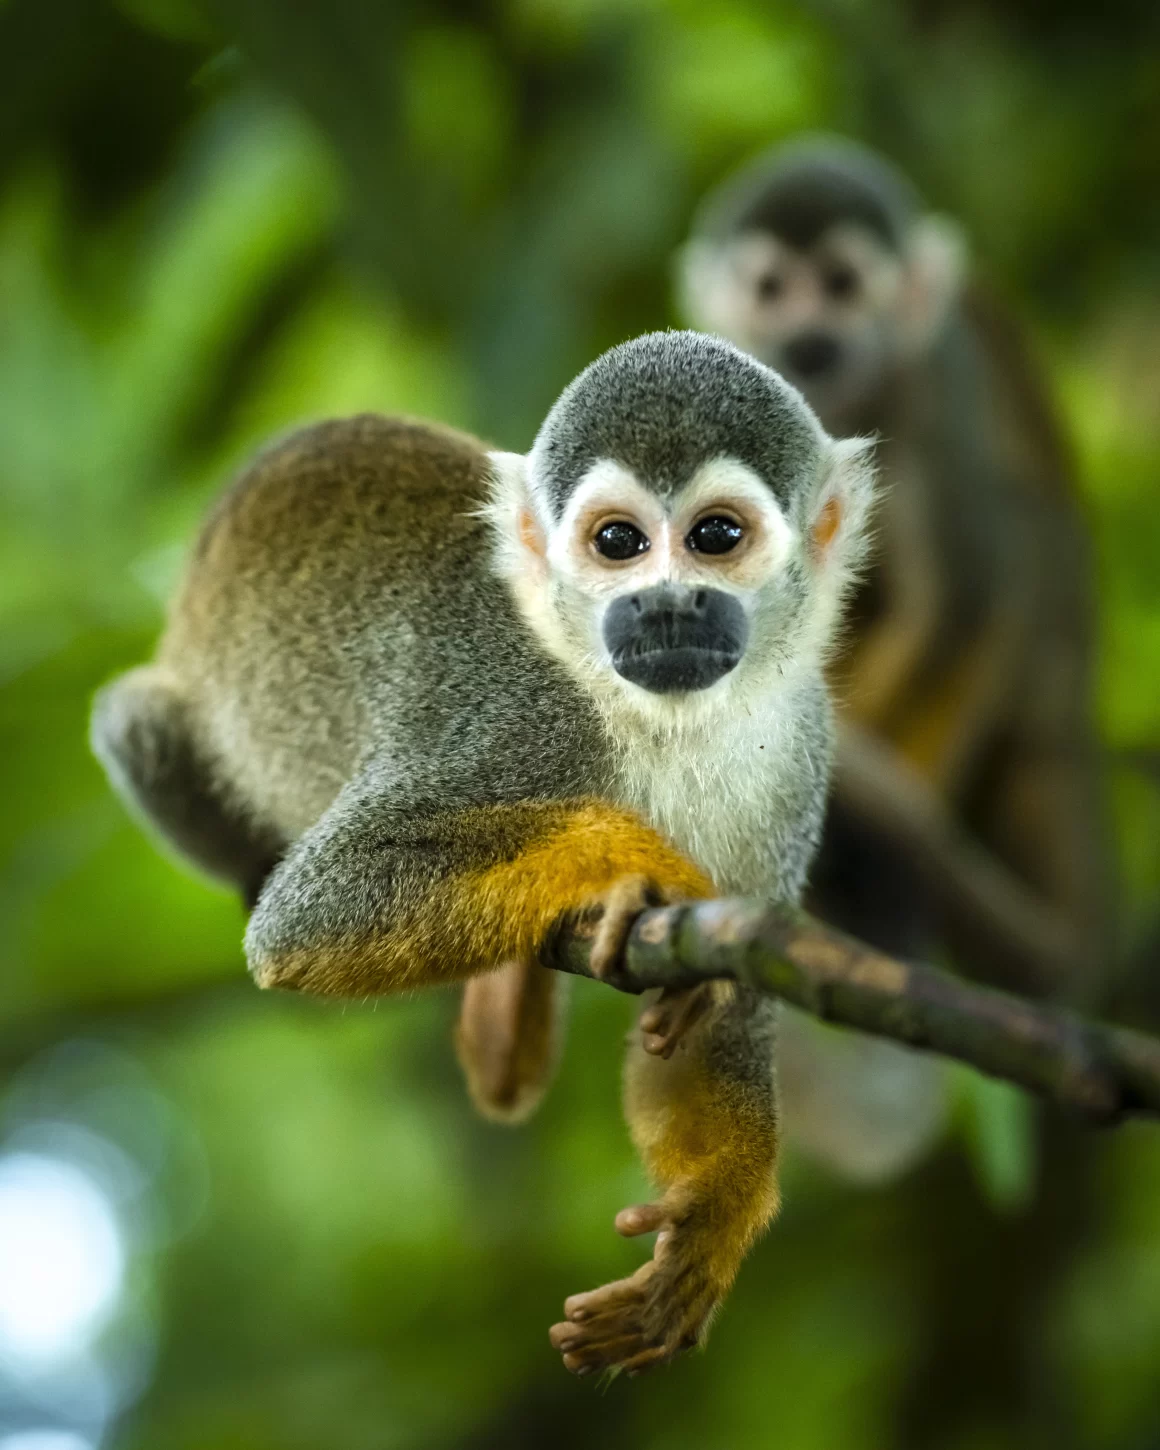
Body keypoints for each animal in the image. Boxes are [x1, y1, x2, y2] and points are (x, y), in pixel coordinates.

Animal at [90, 330, 875, 1375]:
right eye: (619, 544)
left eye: (715, 536)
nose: (666, 609)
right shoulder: (506, 709)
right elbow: (311, 911)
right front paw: (621, 861)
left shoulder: (798, 745)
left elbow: (727, 998)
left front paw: (711, 1216)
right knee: (136, 725)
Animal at [678, 137, 1108, 1177]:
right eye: (772, 288)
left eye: (842, 284)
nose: (811, 336)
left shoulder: (933, 397)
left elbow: (968, 598)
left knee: (1007, 545)